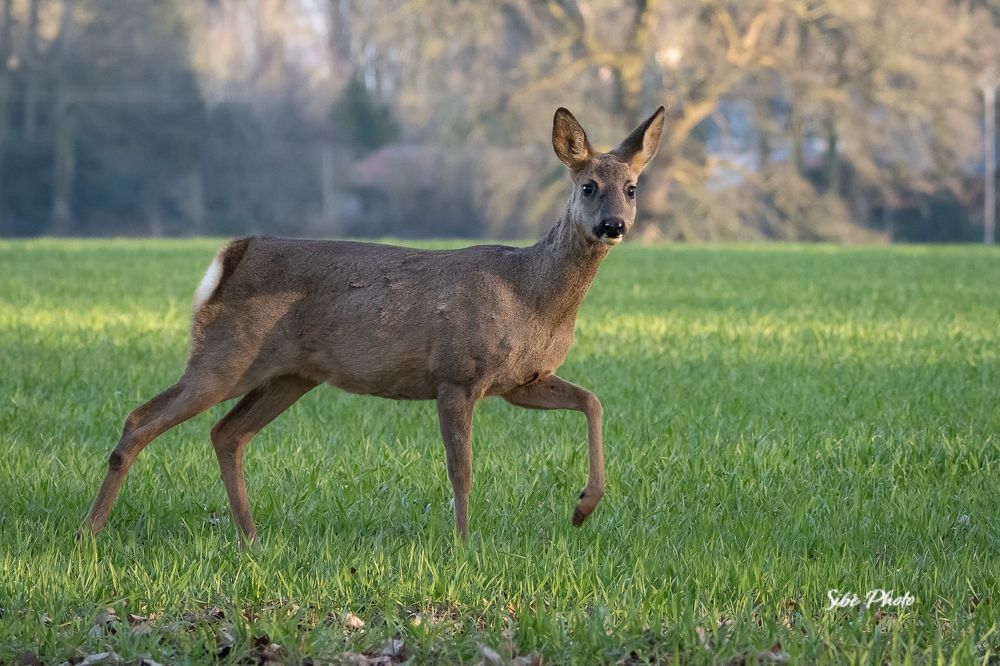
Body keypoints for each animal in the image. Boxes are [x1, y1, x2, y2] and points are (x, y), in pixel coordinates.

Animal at [79, 106, 665, 542]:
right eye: (588, 186)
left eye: (632, 188)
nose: (613, 225)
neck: (533, 298)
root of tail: (231, 255)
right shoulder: (457, 374)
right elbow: (462, 470)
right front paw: (463, 545)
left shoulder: (522, 381)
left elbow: (593, 401)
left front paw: (583, 507)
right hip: (224, 356)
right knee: (140, 420)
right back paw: (90, 532)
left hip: (289, 375)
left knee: (226, 432)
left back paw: (250, 537)